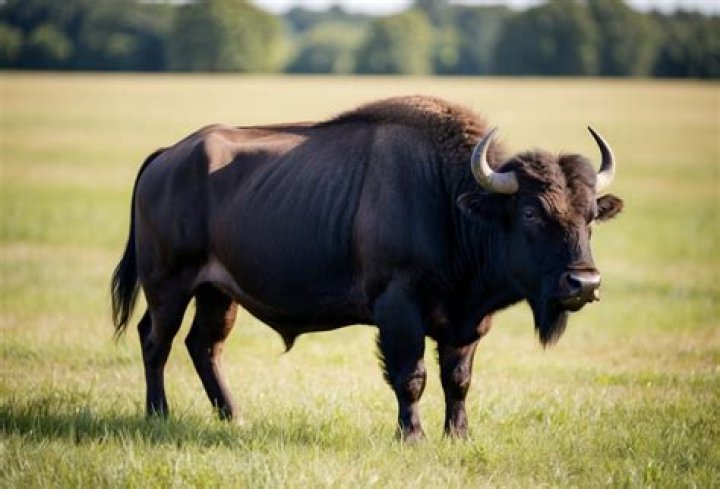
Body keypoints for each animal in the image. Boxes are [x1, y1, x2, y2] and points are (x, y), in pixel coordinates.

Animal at [111, 96, 623, 441]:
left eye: (590, 216)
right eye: (532, 211)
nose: (585, 282)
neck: (449, 197)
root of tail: (167, 157)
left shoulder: (467, 322)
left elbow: (457, 379)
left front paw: (458, 435)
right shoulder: (399, 309)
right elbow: (411, 376)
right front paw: (412, 436)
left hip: (218, 294)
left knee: (204, 346)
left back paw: (234, 416)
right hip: (169, 287)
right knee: (156, 342)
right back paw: (158, 414)